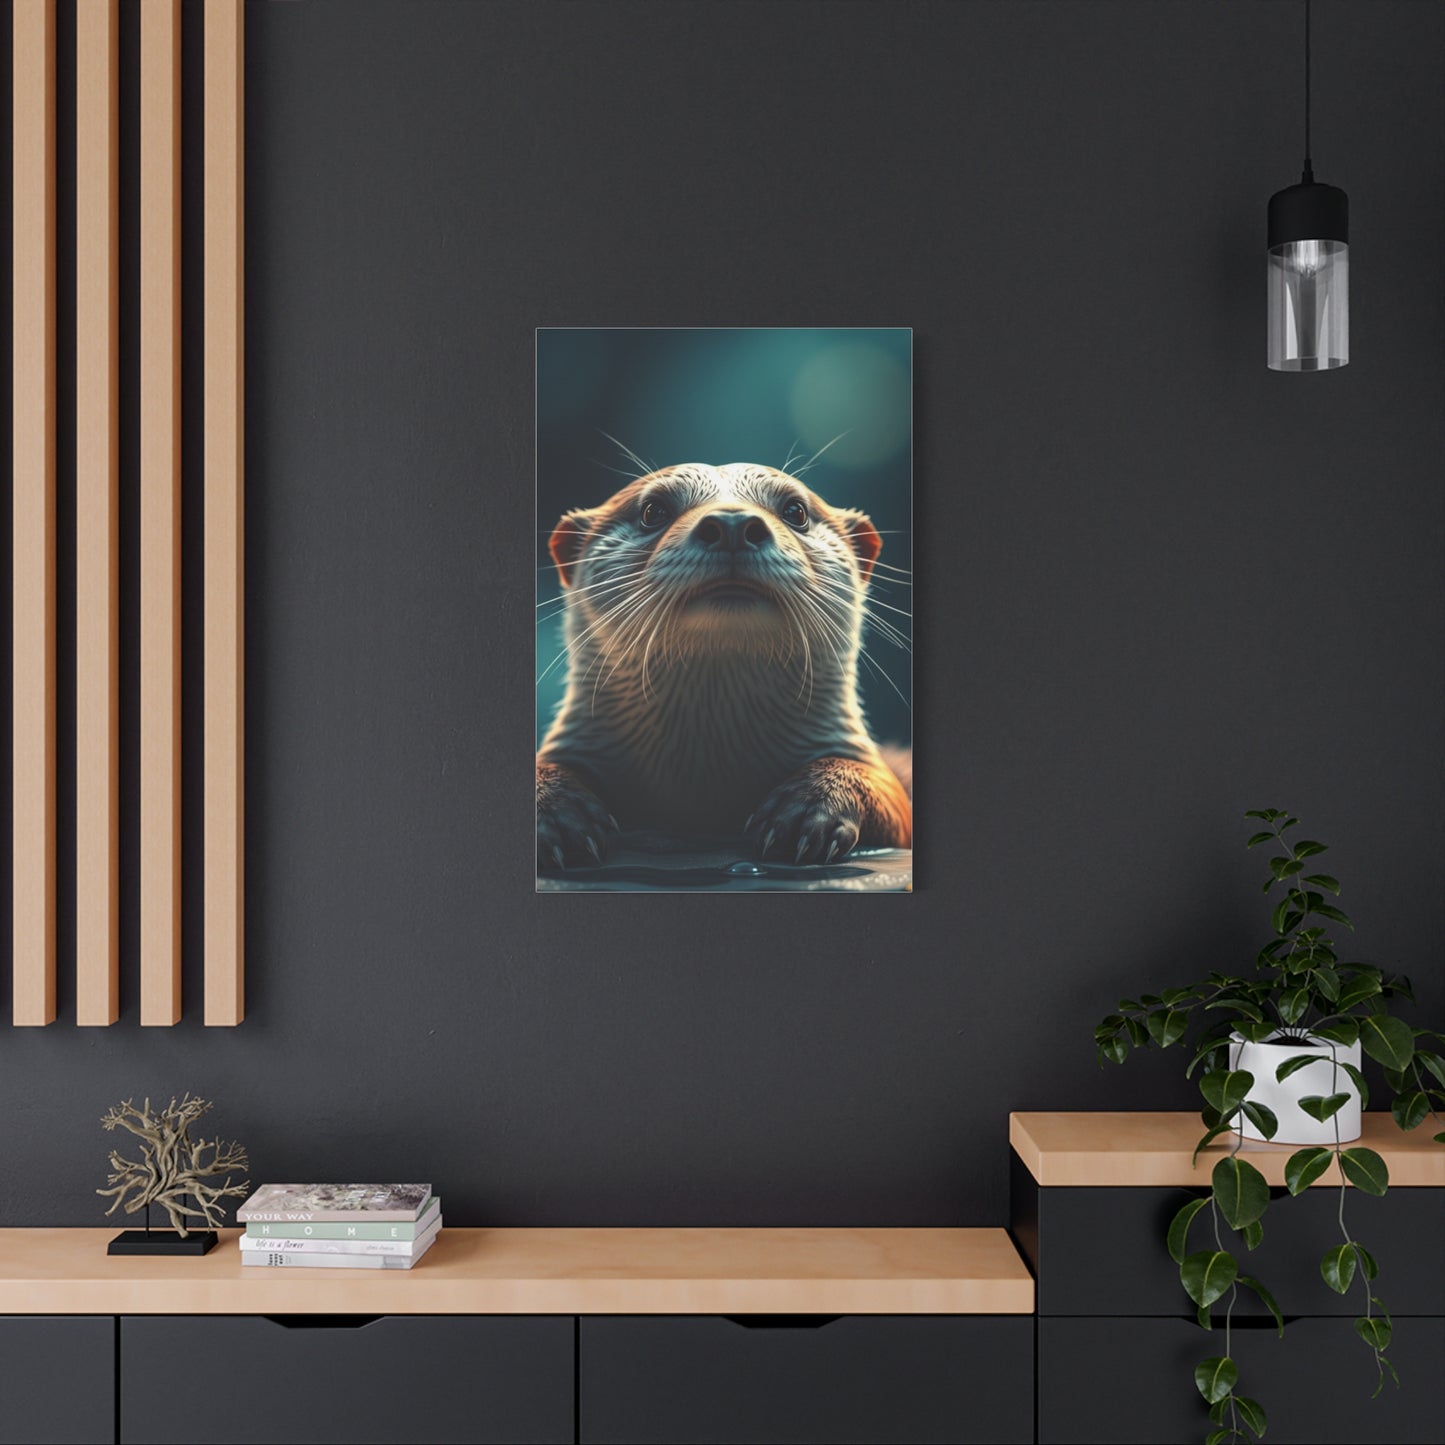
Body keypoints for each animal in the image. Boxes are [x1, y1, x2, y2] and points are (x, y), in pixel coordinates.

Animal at [536, 462, 911, 870]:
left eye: (796, 511)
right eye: (653, 511)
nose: (733, 523)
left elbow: (887, 792)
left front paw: (811, 807)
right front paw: (556, 811)